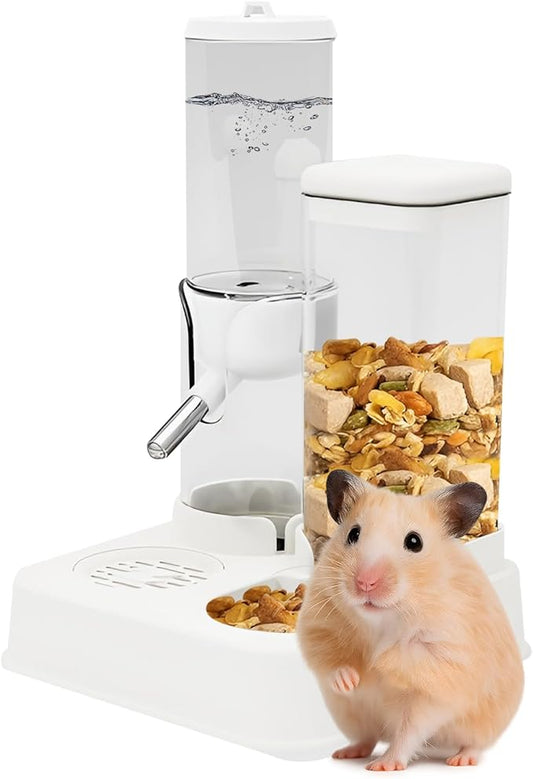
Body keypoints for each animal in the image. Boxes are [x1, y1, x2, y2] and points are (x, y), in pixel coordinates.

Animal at [297, 470, 524, 771]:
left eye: (414, 542)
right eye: (353, 533)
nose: (365, 583)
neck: (384, 620)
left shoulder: (441, 673)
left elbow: (409, 718)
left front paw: (380, 663)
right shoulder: (320, 623)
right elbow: (331, 660)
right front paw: (352, 680)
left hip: (482, 723)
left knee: (464, 742)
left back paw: (455, 760)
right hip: (351, 715)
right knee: (368, 737)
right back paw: (346, 753)